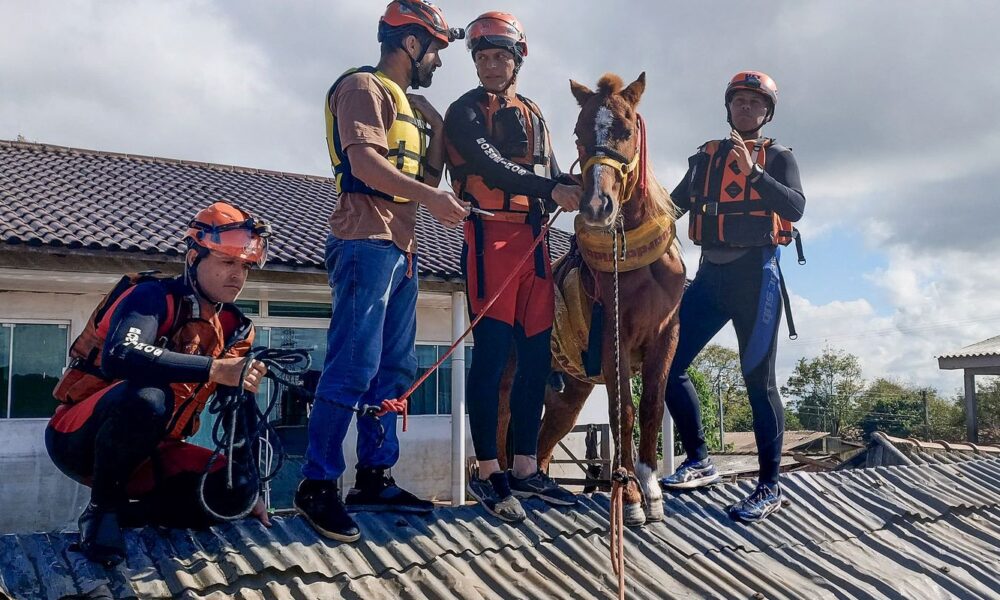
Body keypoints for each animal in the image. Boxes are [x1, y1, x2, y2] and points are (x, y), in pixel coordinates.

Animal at [532, 72, 688, 528]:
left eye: (626, 128)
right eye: (578, 133)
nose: (597, 206)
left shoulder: (666, 334)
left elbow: (651, 404)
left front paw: (651, 488)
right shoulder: (613, 337)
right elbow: (624, 411)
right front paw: (630, 493)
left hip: (568, 392)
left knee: (543, 442)